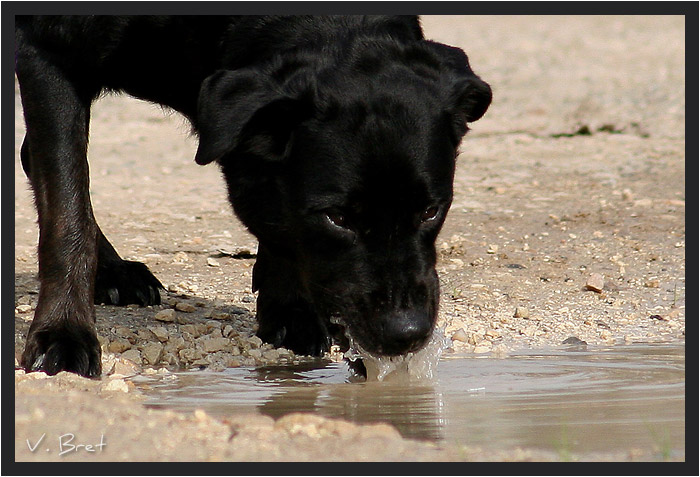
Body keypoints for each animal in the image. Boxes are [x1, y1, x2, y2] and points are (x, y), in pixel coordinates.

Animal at [15, 16, 486, 378]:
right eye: (337, 217)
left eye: (431, 211)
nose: (406, 332)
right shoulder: (48, 53)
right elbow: (68, 206)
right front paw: (63, 333)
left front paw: (289, 308)